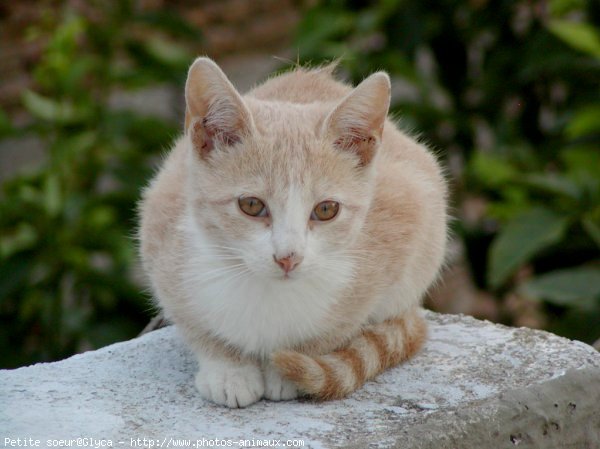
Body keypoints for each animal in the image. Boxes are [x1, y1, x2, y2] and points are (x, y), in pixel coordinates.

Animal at [138, 56, 448, 406]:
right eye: (251, 205)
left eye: (326, 210)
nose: (288, 257)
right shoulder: (161, 230)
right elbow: (194, 324)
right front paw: (229, 369)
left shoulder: (398, 233)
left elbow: (334, 331)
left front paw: (286, 371)